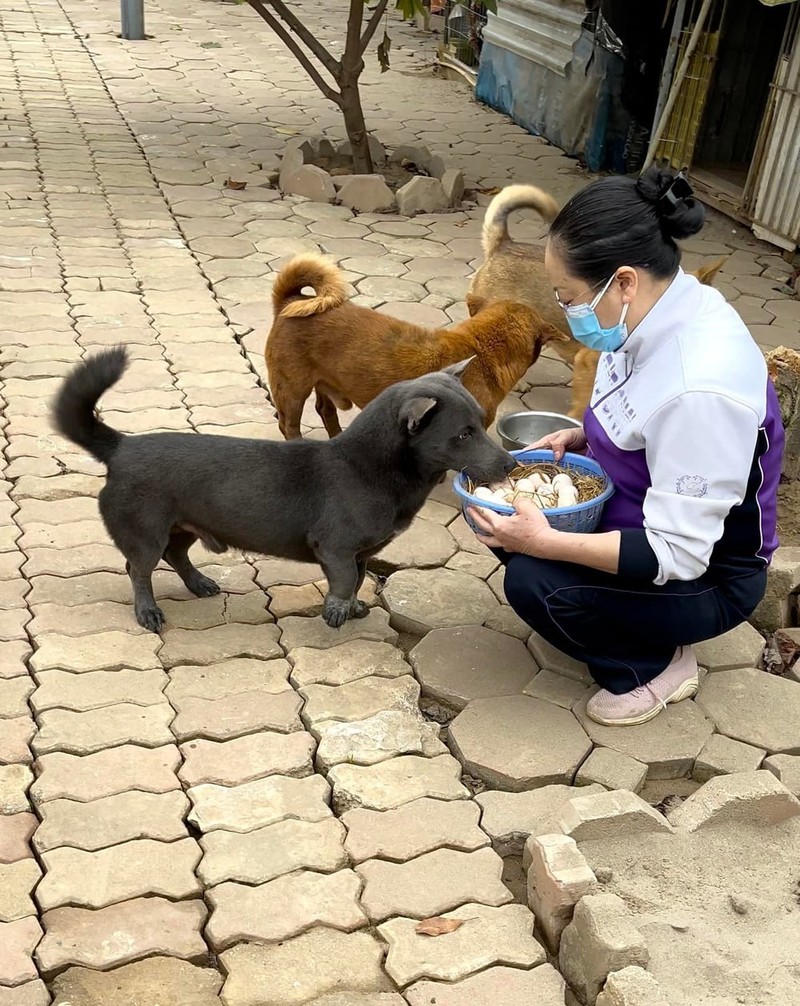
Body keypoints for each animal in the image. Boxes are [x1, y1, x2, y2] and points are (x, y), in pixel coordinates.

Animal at [51, 346, 513, 627]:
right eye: (463, 434)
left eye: (480, 424)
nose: (510, 464)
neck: (367, 468)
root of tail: (121, 445)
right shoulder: (336, 549)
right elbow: (344, 580)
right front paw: (336, 611)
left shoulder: (362, 553)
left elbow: (358, 580)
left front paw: (353, 606)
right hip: (146, 530)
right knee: (140, 569)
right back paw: (148, 612)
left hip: (184, 525)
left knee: (175, 555)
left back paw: (198, 583)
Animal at [265, 253, 567, 438]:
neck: (482, 348)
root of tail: (290, 301)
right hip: (292, 391)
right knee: (288, 424)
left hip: (323, 383)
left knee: (325, 411)